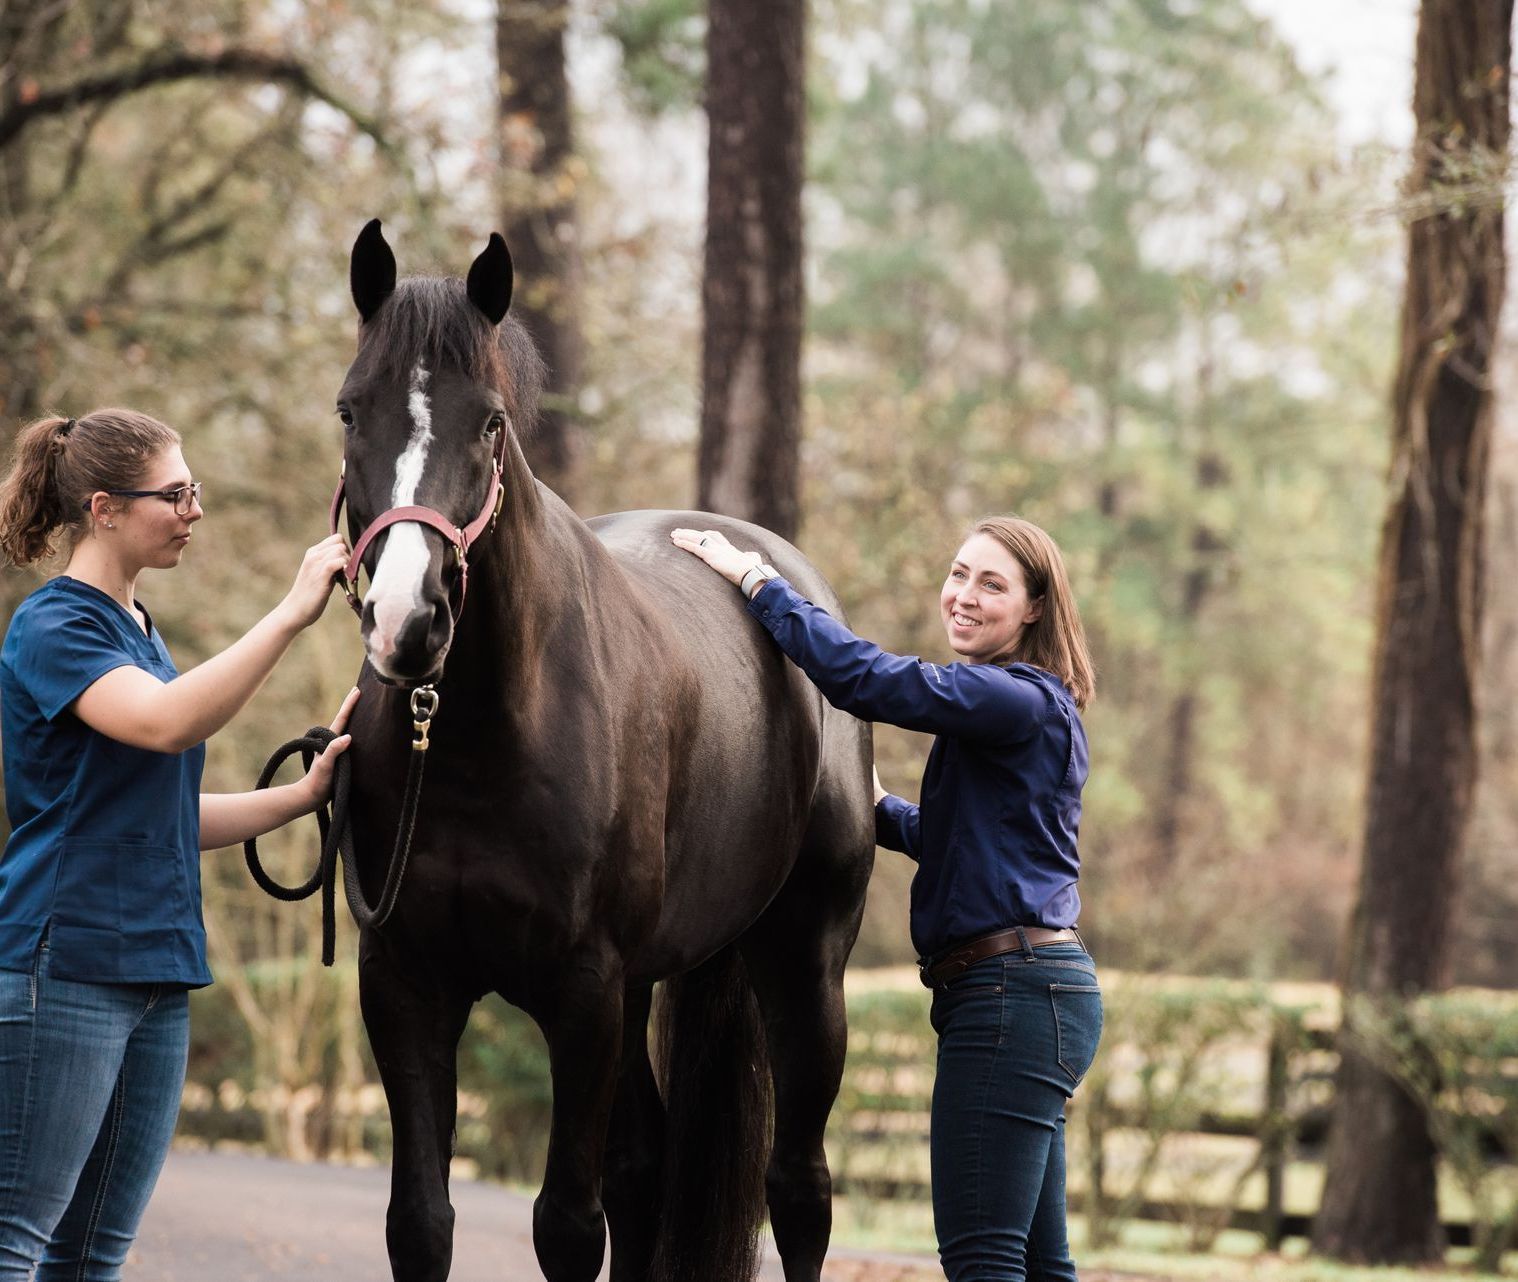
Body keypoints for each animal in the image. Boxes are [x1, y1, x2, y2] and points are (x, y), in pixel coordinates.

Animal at [332, 219, 875, 1282]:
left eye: (491, 423)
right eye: (348, 410)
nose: (408, 621)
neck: (477, 743)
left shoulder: (584, 995)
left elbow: (568, 1227)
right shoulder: (407, 986)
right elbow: (420, 1223)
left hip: (804, 964)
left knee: (799, 1189)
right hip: (650, 984)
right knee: (647, 1172)